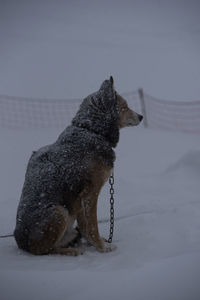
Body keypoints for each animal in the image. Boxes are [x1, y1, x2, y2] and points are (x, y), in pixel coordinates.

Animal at [13, 77, 142, 255]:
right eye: (125, 107)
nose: (141, 116)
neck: (90, 130)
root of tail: (20, 242)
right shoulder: (91, 193)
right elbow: (92, 225)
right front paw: (102, 247)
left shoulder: (82, 198)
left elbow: (85, 226)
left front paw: (97, 243)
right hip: (59, 211)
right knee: (47, 250)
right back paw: (70, 251)